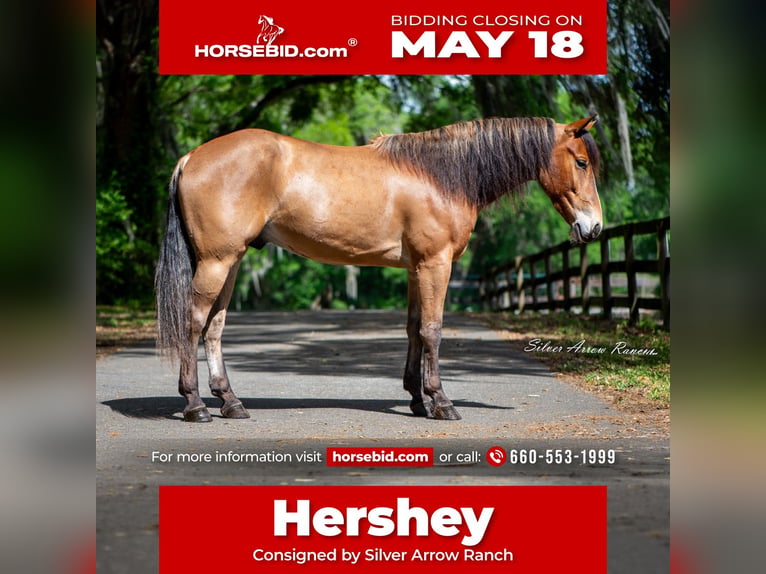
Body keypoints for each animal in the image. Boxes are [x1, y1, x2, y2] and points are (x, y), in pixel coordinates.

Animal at [155, 116, 602, 423]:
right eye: (581, 162)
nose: (594, 227)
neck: (441, 176)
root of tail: (192, 157)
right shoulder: (435, 264)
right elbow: (433, 330)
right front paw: (442, 403)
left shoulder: (416, 268)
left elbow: (414, 330)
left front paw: (418, 400)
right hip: (216, 262)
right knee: (193, 322)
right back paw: (195, 405)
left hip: (230, 262)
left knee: (214, 326)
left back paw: (230, 402)